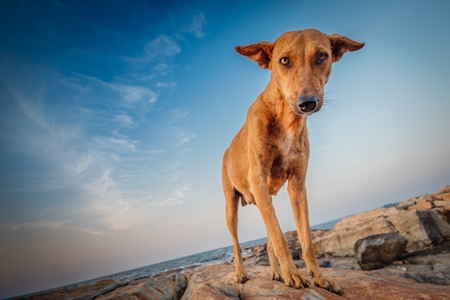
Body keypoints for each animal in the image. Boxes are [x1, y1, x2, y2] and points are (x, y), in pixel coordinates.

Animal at [222, 29, 366, 294]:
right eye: (284, 60)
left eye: (322, 56)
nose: (307, 103)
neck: (286, 118)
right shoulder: (257, 178)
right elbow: (280, 237)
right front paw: (293, 273)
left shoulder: (298, 185)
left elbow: (305, 240)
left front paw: (318, 277)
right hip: (231, 206)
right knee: (238, 244)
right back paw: (241, 273)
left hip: (263, 198)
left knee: (269, 239)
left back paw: (276, 272)